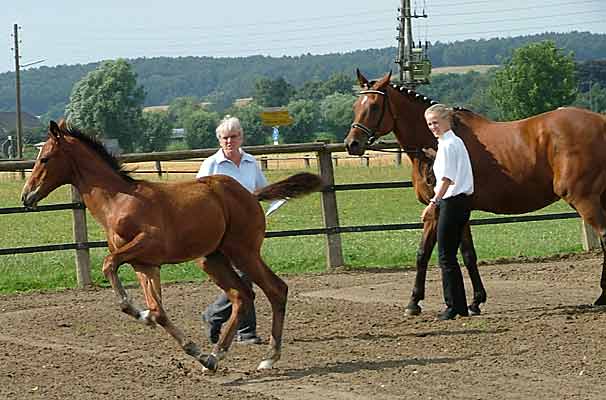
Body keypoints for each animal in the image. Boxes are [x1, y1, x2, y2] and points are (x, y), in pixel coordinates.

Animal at [21, 121, 326, 372]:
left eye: (45, 158)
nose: (27, 196)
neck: (118, 201)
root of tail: (251, 194)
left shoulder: (147, 244)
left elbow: (109, 264)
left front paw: (136, 311)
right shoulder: (145, 264)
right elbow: (158, 311)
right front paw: (185, 344)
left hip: (243, 251)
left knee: (275, 289)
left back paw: (270, 357)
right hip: (212, 258)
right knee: (242, 295)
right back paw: (214, 357)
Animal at [350, 69, 606, 316]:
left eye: (374, 106)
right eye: (355, 106)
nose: (352, 143)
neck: (437, 142)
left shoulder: (439, 211)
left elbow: (431, 253)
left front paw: (418, 302)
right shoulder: (455, 211)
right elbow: (461, 254)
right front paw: (472, 302)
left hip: (583, 198)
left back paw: (602, 296)